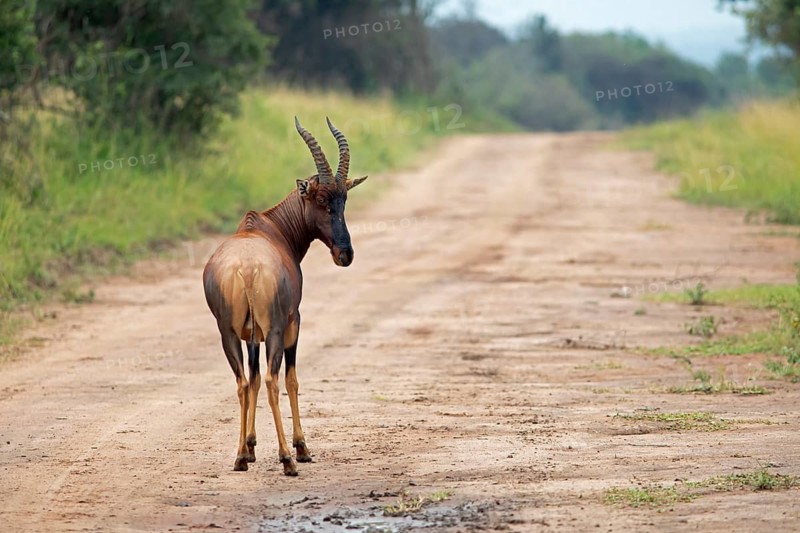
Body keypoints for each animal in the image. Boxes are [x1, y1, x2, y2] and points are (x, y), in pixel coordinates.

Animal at [203, 117, 367, 475]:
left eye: (345, 199)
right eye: (322, 200)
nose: (345, 254)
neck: (268, 227)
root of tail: (248, 269)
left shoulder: (250, 334)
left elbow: (251, 378)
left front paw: (250, 447)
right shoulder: (294, 322)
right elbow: (292, 380)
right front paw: (302, 447)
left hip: (227, 333)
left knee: (243, 382)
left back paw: (239, 458)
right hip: (277, 329)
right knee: (273, 381)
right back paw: (288, 459)